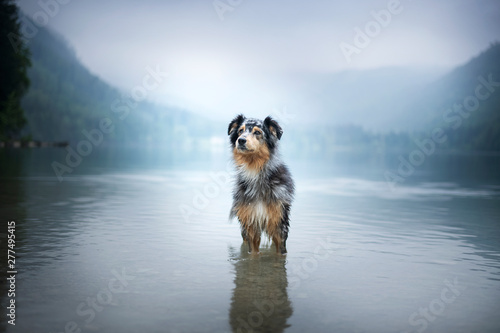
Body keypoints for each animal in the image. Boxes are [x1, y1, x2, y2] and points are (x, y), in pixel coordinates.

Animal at [227, 115, 292, 254]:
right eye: (240, 131)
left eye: (257, 132)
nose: (241, 140)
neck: (254, 171)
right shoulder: (250, 224)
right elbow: (252, 253)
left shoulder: (279, 225)